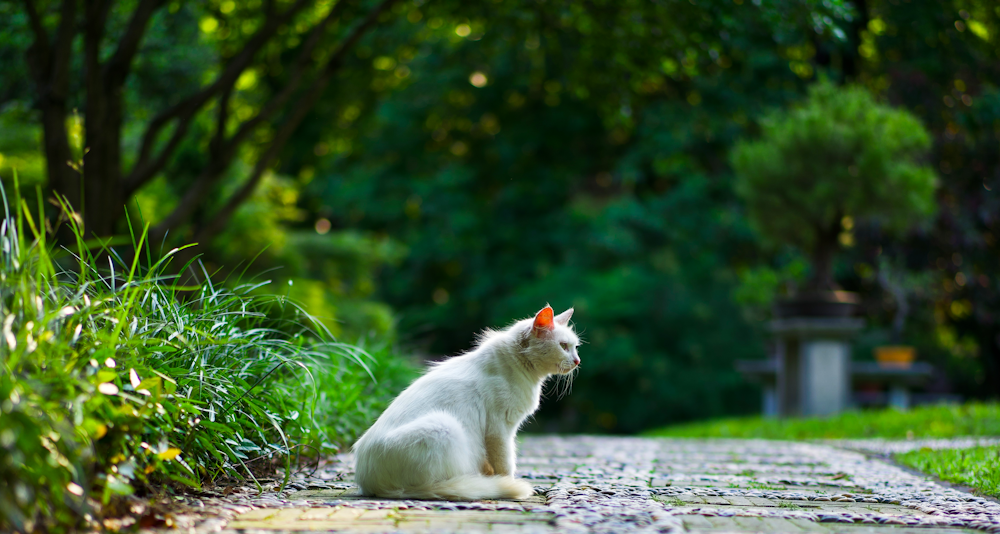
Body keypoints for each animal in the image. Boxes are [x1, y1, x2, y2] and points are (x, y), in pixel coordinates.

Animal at [356, 306, 584, 502]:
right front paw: (508, 483)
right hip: (443, 426)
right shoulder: (499, 430)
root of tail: (369, 484)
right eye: (563, 346)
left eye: (575, 348)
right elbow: (506, 464)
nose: (577, 361)